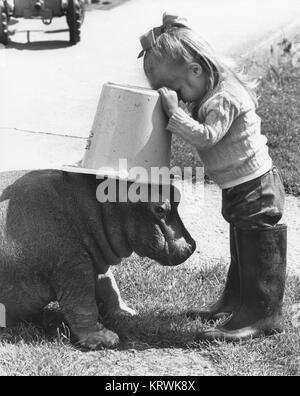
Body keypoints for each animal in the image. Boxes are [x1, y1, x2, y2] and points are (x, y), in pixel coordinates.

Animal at [0, 170, 196, 350]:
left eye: (177, 196)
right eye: (160, 208)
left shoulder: (95, 260)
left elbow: (110, 288)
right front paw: (104, 339)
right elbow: (83, 304)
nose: (191, 245)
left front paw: (127, 313)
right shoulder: (73, 267)